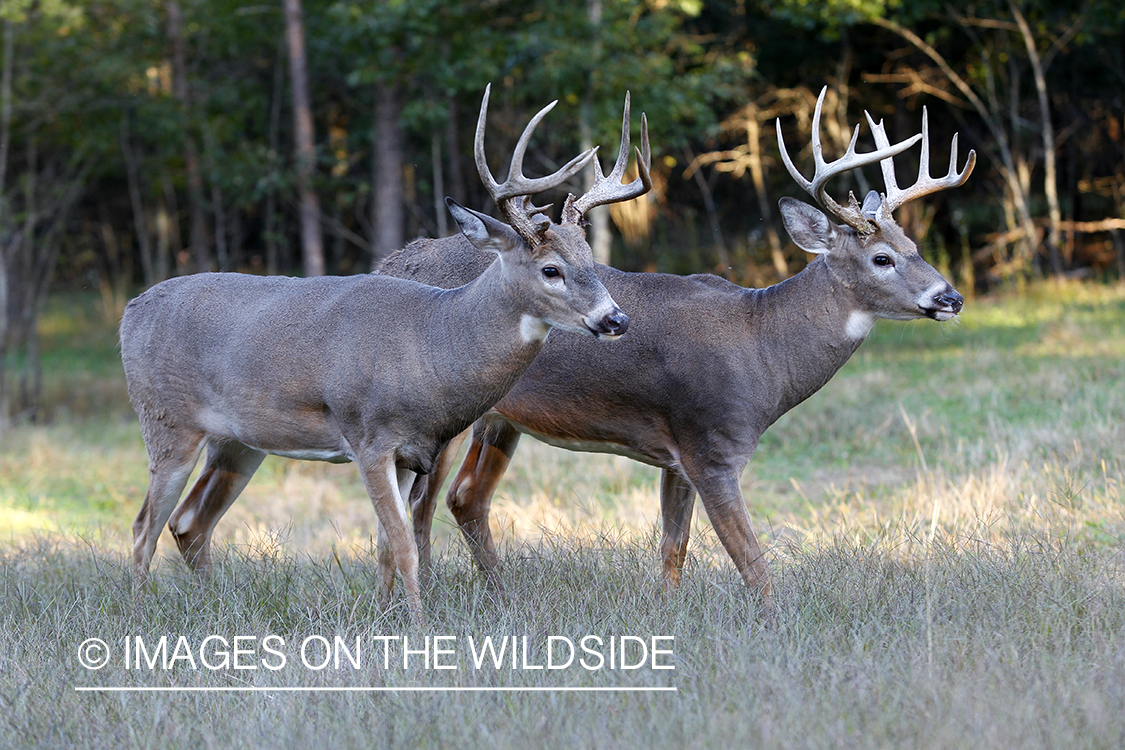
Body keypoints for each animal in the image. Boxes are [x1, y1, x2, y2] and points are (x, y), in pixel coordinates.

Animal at [118, 84, 652, 620]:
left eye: (590, 258)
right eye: (550, 270)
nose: (616, 320)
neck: (434, 345)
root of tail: (130, 312)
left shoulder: (407, 453)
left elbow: (384, 547)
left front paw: (383, 616)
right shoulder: (369, 437)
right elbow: (403, 544)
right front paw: (418, 625)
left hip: (240, 440)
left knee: (187, 521)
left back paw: (215, 603)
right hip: (167, 421)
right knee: (143, 525)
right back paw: (140, 614)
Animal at [380, 89, 976, 616]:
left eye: (914, 247)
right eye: (881, 259)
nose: (951, 297)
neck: (764, 344)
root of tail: (394, 260)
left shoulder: (677, 456)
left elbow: (674, 548)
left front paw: (665, 618)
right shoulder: (712, 447)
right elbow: (753, 564)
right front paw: (777, 625)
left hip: (499, 418)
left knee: (464, 498)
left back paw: (499, 598)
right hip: (440, 409)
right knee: (418, 504)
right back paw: (425, 598)